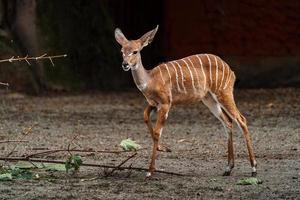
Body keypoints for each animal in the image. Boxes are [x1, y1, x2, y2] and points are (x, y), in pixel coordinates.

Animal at [113, 25, 256, 177]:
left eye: (135, 51)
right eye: (122, 51)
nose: (125, 64)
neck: (150, 80)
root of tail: (231, 71)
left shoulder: (166, 103)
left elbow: (157, 132)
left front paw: (150, 171)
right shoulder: (153, 103)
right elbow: (145, 117)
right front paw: (163, 149)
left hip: (224, 93)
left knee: (241, 120)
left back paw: (254, 168)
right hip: (209, 99)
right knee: (228, 122)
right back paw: (228, 168)